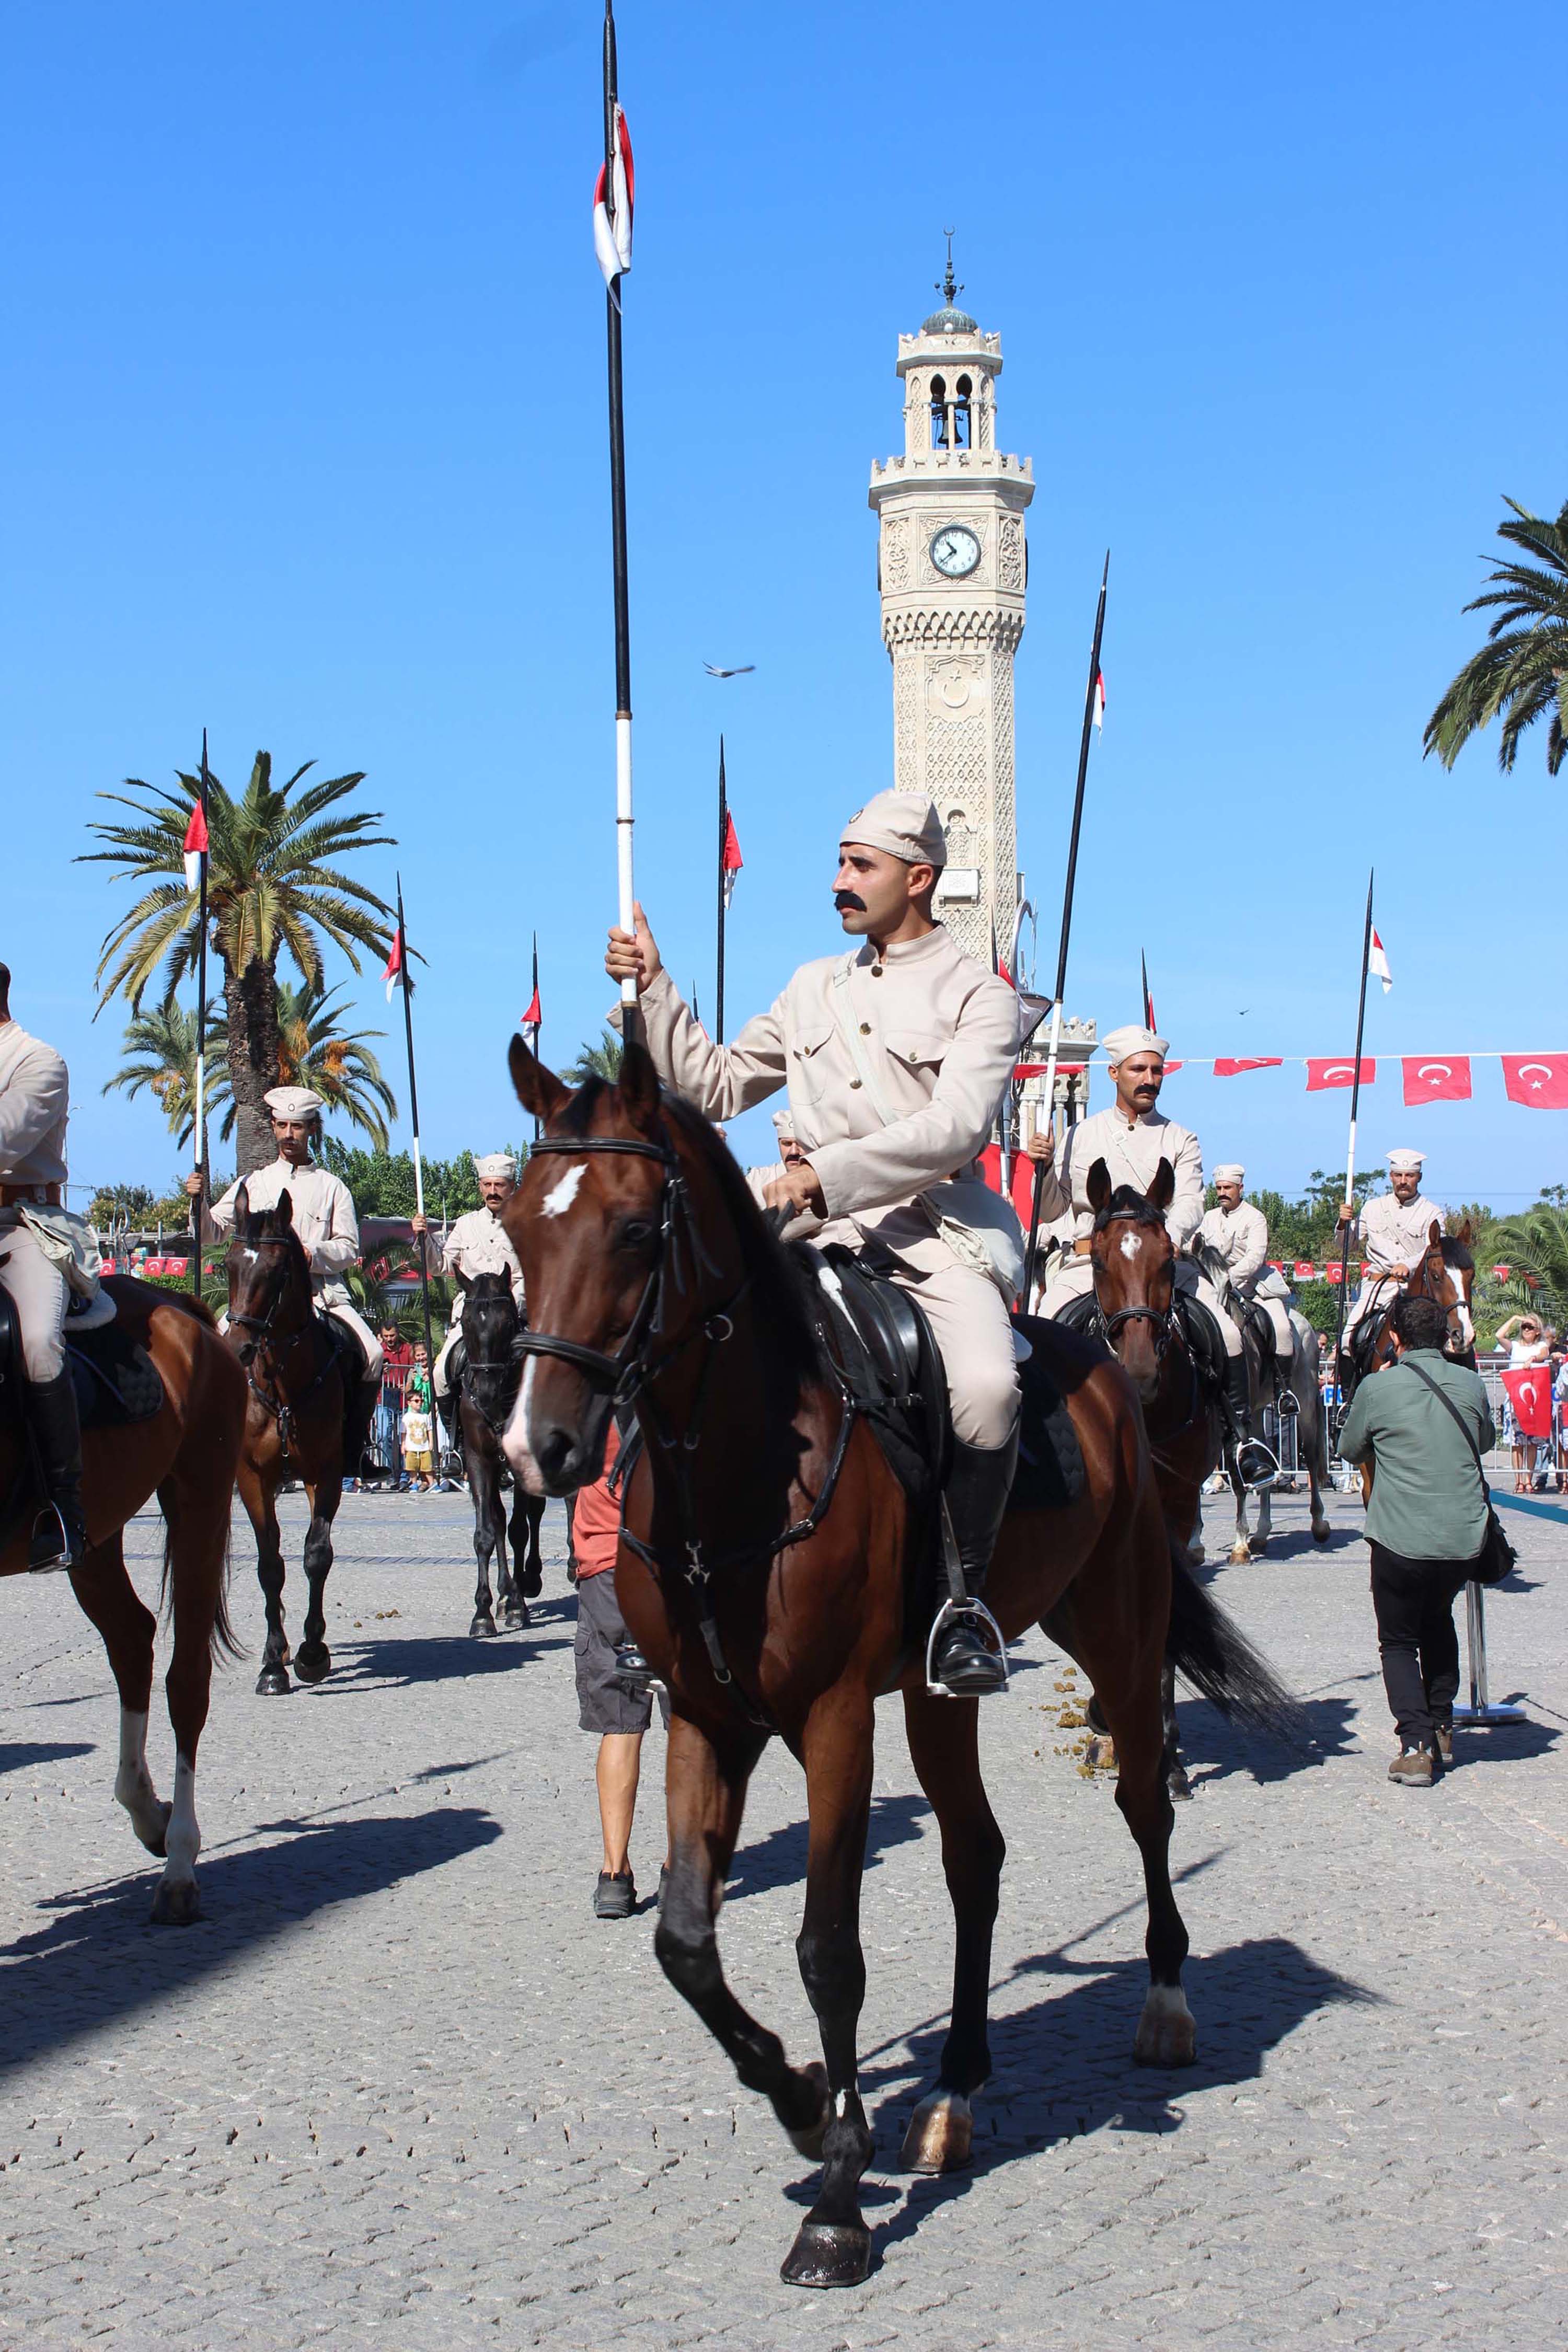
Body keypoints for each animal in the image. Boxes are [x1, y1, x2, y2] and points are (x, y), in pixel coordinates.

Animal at [0, 1279, 246, 1919]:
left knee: (186, 1681)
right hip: (97, 1533)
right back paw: (148, 1812)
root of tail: (179, 1306)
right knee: (133, 1640)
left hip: (200, 1501)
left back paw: (179, 1862)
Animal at [222, 1185, 376, 1703]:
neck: (284, 1385)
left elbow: (316, 1555)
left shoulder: (323, 1474)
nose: (240, 1349)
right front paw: (274, 1663)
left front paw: (313, 1652)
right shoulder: (253, 1478)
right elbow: (270, 1563)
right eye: (227, 1265)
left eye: (276, 1271)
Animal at [496, 1040, 1297, 2286]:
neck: (737, 1464)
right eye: (520, 1229)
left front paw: (835, 2198)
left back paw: (1164, 2000)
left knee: (1142, 1801)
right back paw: (954, 2095)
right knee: (977, 1856)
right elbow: (686, 1942)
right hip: (936, 1693)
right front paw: (797, 2099)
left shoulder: (834, 1722)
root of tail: (1100, 1369)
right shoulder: (708, 1720)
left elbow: (830, 1947)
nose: (539, 1446)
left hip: (1118, 1634)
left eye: (633, 1231)